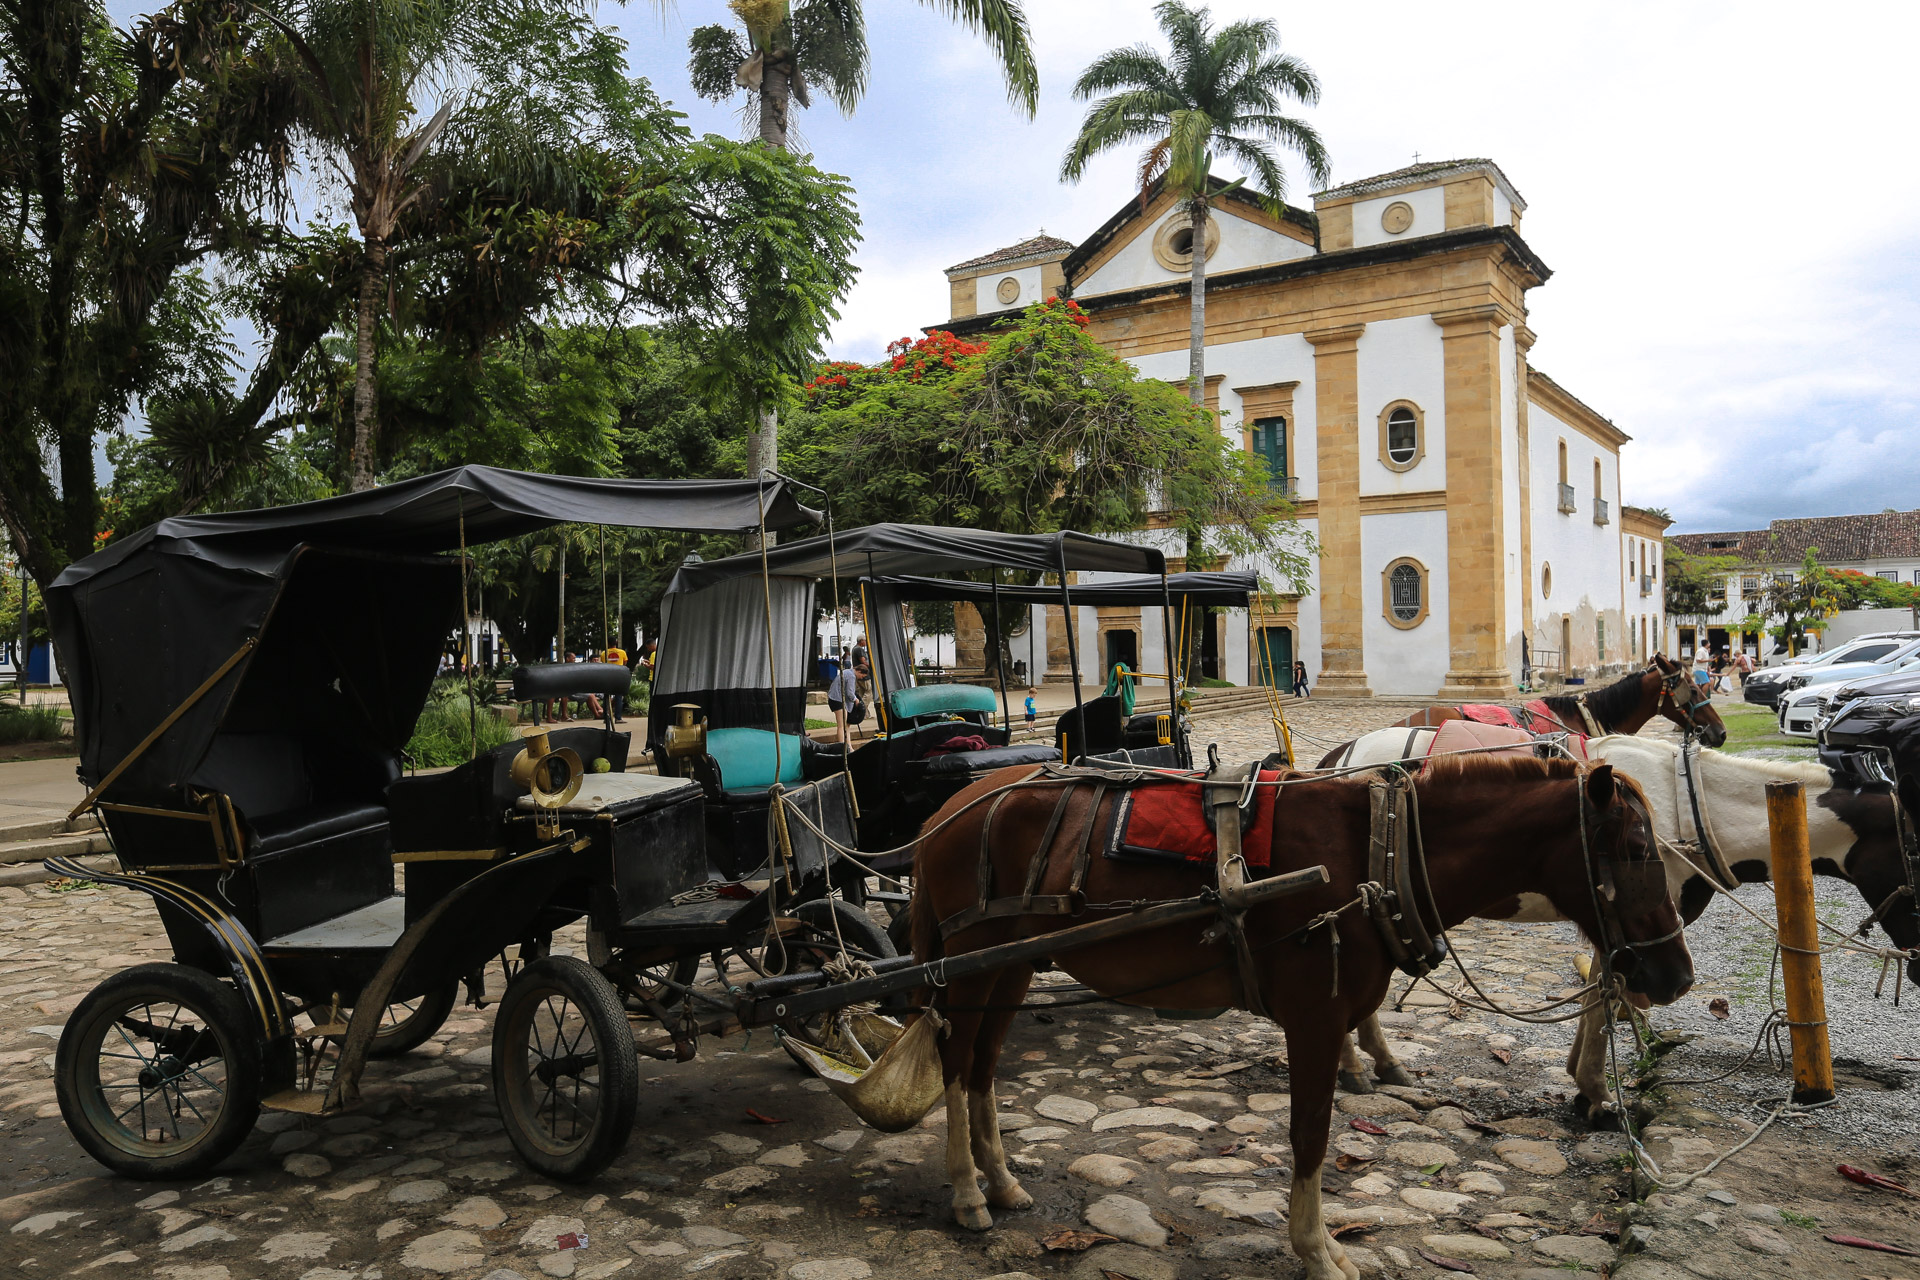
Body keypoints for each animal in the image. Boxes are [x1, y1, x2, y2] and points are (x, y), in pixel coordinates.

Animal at [906, 756, 1689, 1274]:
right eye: (1636, 851)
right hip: (969, 957)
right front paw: (1317, 1250)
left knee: (982, 1065)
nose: (1676, 974)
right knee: (955, 1061)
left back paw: (1002, 1181)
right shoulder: (1316, 1017)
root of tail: (947, 812)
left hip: (1007, 965)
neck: (1377, 852)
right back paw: (968, 1191)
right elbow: (1311, 1135)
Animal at [1320, 729, 1904, 1120]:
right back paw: (1353, 1067)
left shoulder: (1620, 929)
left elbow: (1599, 994)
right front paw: (1597, 1095)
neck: (1688, 806)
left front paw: (1584, 1084)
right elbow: (1606, 995)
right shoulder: (1632, 923)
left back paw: (1379, 1062)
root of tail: (1339, 757)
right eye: (1911, 847)